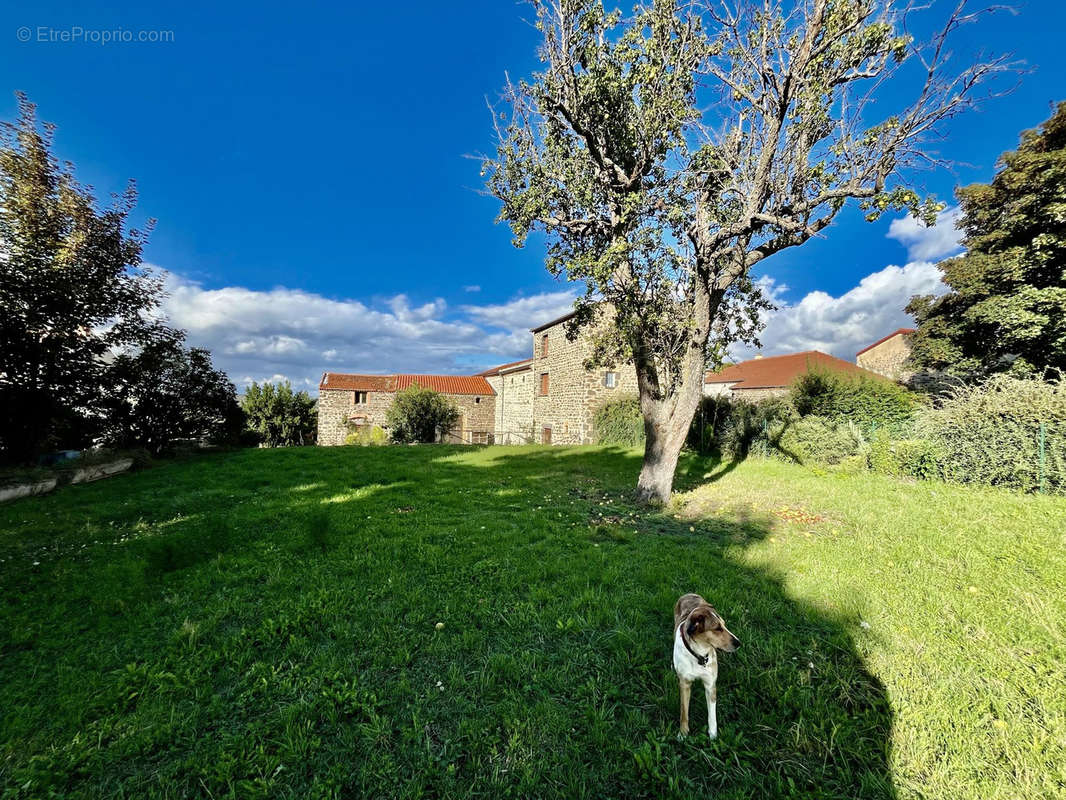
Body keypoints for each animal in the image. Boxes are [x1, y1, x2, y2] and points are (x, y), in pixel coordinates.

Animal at [673, 593, 741, 742]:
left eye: (724, 625)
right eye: (717, 628)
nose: (738, 643)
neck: (699, 654)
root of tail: (689, 593)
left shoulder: (710, 684)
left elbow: (712, 714)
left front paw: (713, 735)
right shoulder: (684, 683)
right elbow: (683, 711)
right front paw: (683, 733)